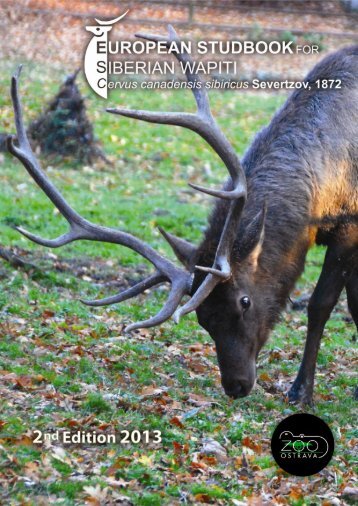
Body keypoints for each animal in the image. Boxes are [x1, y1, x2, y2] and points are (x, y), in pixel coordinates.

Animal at [6, 27, 358, 408]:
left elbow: (321, 305)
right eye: (203, 319)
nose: (236, 386)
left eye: (244, 301)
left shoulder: (349, 229)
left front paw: (300, 391)